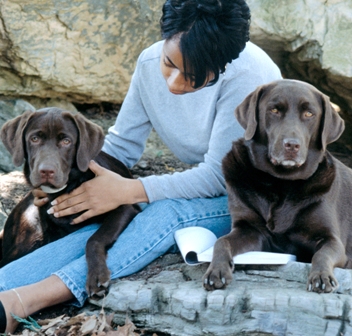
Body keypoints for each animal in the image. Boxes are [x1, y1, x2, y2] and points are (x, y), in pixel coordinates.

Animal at [0, 107, 140, 296]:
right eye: (34, 139)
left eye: (66, 141)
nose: (46, 171)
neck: (67, 188)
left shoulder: (125, 207)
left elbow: (94, 239)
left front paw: (97, 275)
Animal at [202, 79, 350, 294]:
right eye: (274, 110)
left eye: (309, 114)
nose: (292, 145)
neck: (281, 183)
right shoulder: (250, 229)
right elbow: (222, 241)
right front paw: (217, 270)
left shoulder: (332, 239)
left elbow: (322, 254)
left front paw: (321, 277)